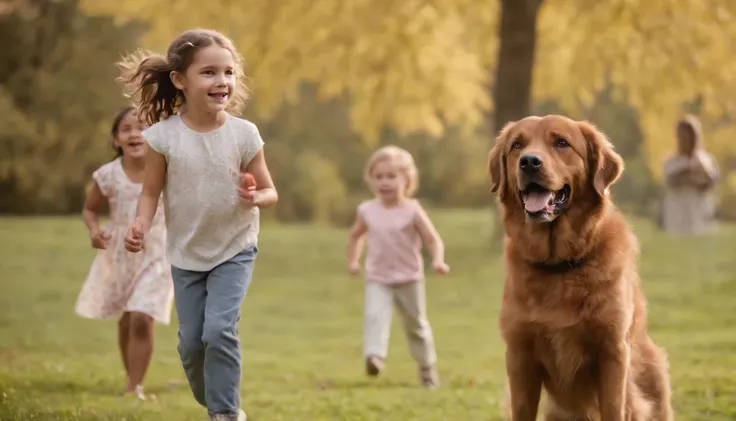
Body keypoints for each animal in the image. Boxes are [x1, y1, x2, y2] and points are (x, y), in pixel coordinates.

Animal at [488, 115, 672, 420]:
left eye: (562, 143)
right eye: (517, 145)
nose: (529, 162)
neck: (560, 263)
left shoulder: (612, 353)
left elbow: (613, 409)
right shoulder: (519, 355)